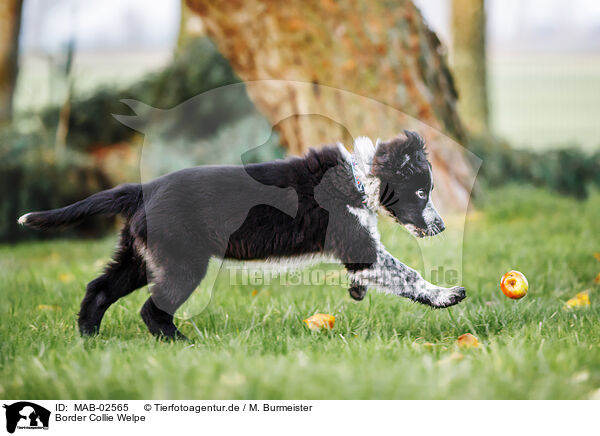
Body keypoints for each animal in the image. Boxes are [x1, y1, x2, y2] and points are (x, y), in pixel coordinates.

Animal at [18, 127, 464, 338]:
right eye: (421, 192)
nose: (441, 226)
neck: (356, 177)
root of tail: (143, 189)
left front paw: (358, 291)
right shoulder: (360, 247)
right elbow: (406, 273)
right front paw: (446, 295)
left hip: (142, 256)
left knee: (99, 289)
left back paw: (89, 338)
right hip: (183, 262)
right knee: (151, 309)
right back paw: (181, 343)